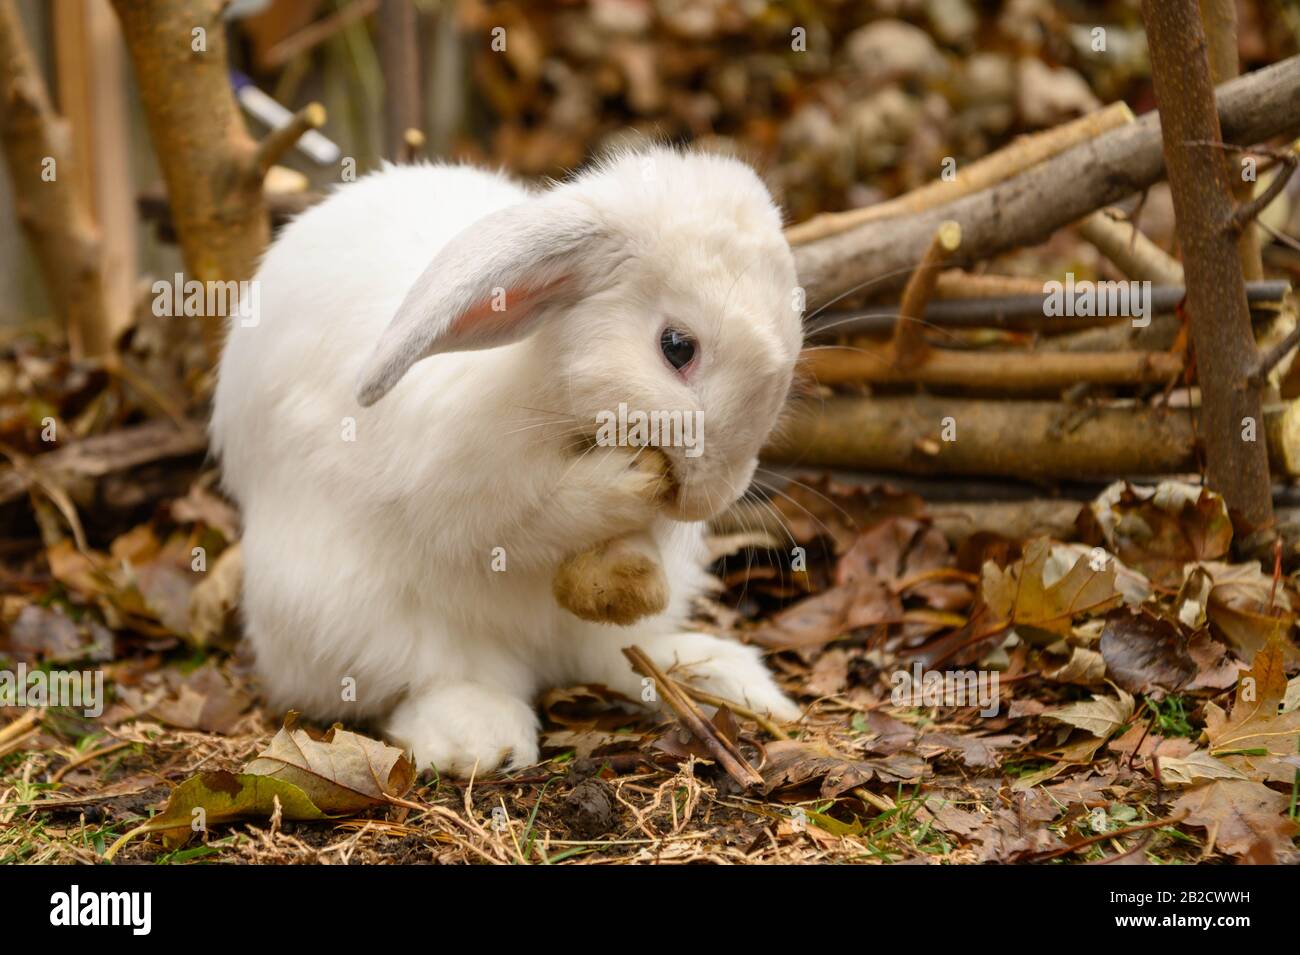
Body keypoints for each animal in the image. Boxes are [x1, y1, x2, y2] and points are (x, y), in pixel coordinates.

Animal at [210, 146, 804, 776]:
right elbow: (530, 518)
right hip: (348, 613)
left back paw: (728, 681)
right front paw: (618, 484)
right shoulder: (466, 492)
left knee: (611, 656)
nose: (709, 497)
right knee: (434, 677)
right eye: (676, 347)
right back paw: (476, 738)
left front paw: (628, 576)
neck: (558, 398)